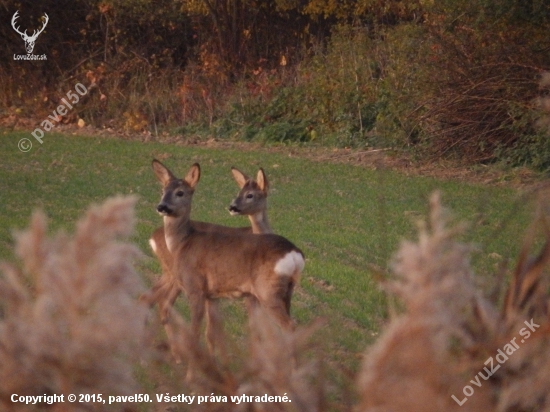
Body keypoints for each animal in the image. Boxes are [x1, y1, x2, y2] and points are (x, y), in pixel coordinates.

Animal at [152, 159, 306, 356]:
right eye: (162, 190)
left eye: (180, 192)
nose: (161, 207)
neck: (182, 243)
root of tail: (294, 253)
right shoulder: (212, 294)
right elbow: (211, 333)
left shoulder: (196, 288)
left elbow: (196, 332)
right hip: (287, 291)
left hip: (267, 290)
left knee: (289, 326)